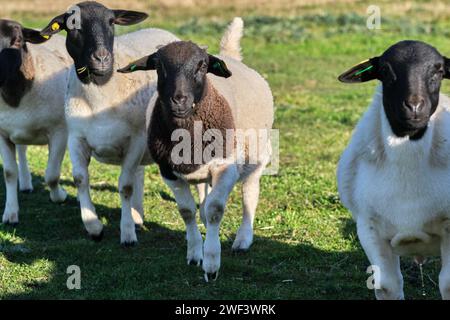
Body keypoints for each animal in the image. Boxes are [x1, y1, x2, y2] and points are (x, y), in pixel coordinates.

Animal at [0, 18, 72, 225]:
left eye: (18, 41)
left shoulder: (59, 131)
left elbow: (52, 175)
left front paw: (60, 196)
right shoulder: (3, 134)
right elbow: (9, 173)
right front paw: (10, 213)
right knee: (22, 150)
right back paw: (25, 184)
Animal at [39, 1, 179, 244]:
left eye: (112, 22)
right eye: (73, 24)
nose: (102, 58)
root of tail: (163, 32)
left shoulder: (135, 141)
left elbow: (125, 186)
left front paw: (127, 233)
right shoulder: (76, 138)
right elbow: (80, 179)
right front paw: (94, 226)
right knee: (139, 173)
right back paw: (137, 215)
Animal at [118, 18, 274, 282]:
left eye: (202, 66)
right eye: (158, 65)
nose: (178, 99)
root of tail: (229, 56)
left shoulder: (226, 167)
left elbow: (215, 210)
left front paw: (211, 263)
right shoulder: (168, 172)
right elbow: (186, 211)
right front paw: (194, 253)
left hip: (257, 157)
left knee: (249, 194)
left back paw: (243, 238)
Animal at [338, 40, 450, 300]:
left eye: (439, 71)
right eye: (385, 70)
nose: (414, 106)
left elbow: (447, 283)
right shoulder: (369, 228)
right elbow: (387, 285)